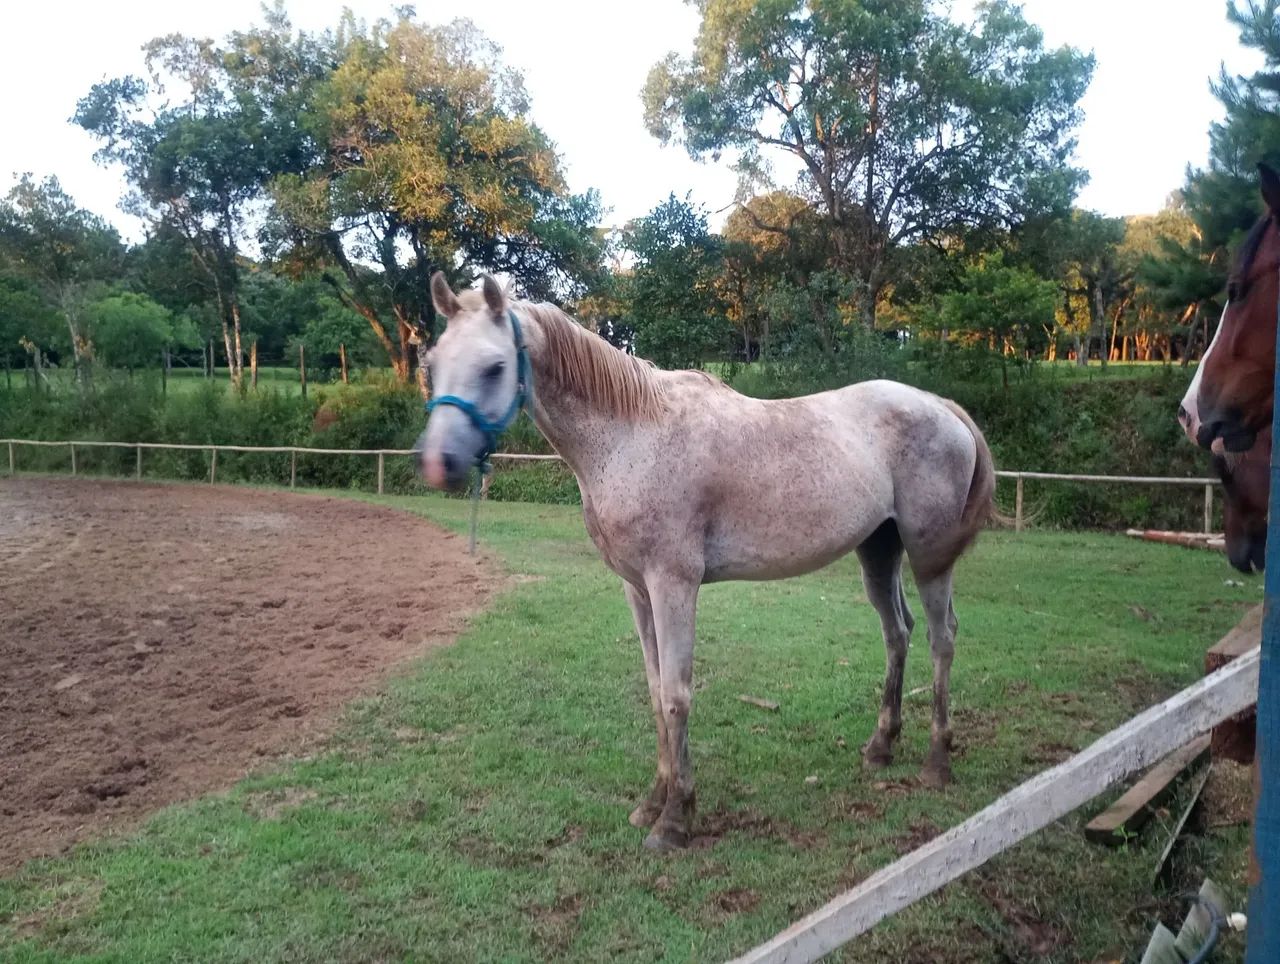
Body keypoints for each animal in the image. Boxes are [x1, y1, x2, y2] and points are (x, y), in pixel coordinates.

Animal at [416, 272, 997, 851]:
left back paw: (937, 761)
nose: (439, 464)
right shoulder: (637, 589)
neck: (633, 434)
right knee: (897, 632)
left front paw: (676, 820)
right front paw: (653, 802)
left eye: (494, 367)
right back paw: (881, 746)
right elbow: (655, 692)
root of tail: (940, 405)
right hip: (878, 550)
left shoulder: (673, 584)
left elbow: (677, 695)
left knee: (941, 637)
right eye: (432, 363)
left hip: (928, 557)